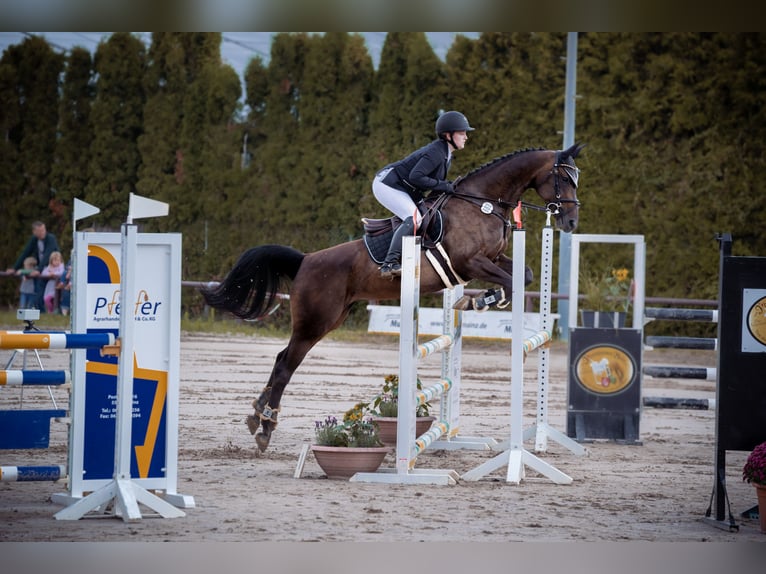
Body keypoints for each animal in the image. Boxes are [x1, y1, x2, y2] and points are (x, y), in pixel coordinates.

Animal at [201, 142, 584, 452]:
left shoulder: (491, 259)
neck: (483, 203)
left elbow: (525, 275)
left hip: (331, 318)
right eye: (564, 179)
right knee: (285, 364)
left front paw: (476, 301)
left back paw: (256, 416)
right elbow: (510, 283)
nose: (571, 222)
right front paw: (479, 301)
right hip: (315, 322)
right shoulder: (471, 261)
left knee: (282, 358)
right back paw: (266, 429)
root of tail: (305, 260)